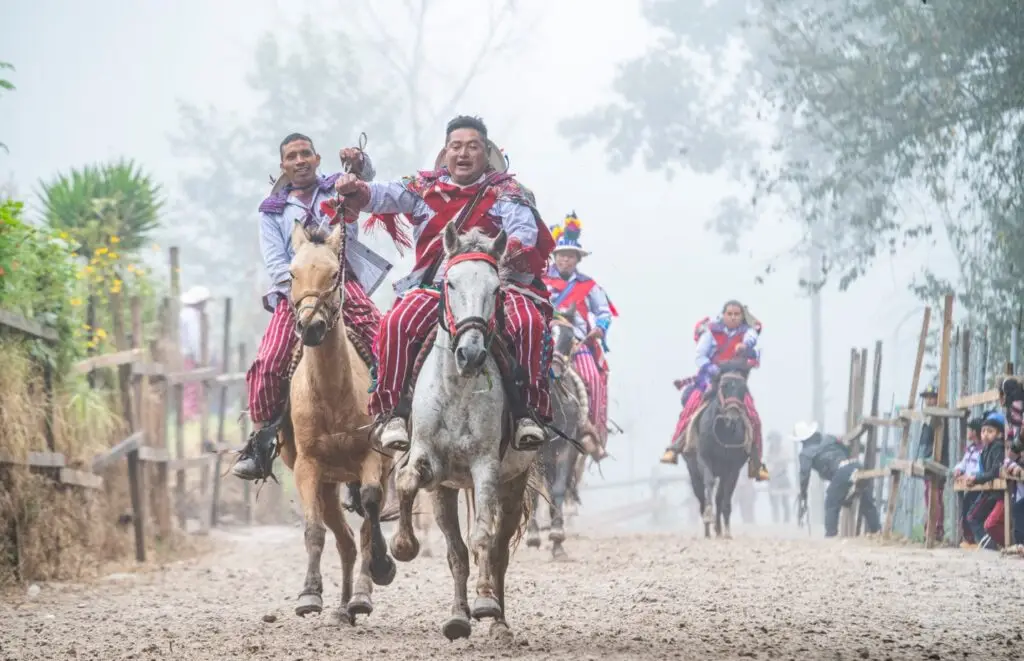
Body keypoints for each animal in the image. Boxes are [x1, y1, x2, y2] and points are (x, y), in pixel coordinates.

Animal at [282, 223, 397, 626]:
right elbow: (313, 530)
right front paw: (308, 594)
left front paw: (378, 572)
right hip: (329, 486)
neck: (333, 395)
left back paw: (357, 597)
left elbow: (370, 510)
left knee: (359, 532)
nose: (311, 327)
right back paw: (342, 607)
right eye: (292, 274)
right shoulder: (308, 467)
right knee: (344, 541)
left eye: (335, 275)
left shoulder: (372, 457)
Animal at [385, 228, 544, 642]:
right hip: (447, 490)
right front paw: (403, 545)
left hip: (513, 483)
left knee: (498, 551)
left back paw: (498, 620)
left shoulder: (486, 467)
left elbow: (484, 538)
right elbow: (406, 481)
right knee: (456, 551)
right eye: (450, 283)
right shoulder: (429, 462)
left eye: (496, 289)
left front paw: (485, 602)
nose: (470, 354)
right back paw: (458, 617)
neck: (457, 389)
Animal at [679, 358, 753, 540]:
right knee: (700, 495)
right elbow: (709, 483)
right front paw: (708, 516)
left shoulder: (733, 468)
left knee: (719, 496)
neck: (724, 433)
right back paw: (707, 529)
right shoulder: (704, 459)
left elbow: (726, 495)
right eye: (724, 386)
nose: (732, 416)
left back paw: (718, 529)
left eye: (743, 388)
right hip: (693, 471)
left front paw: (725, 530)